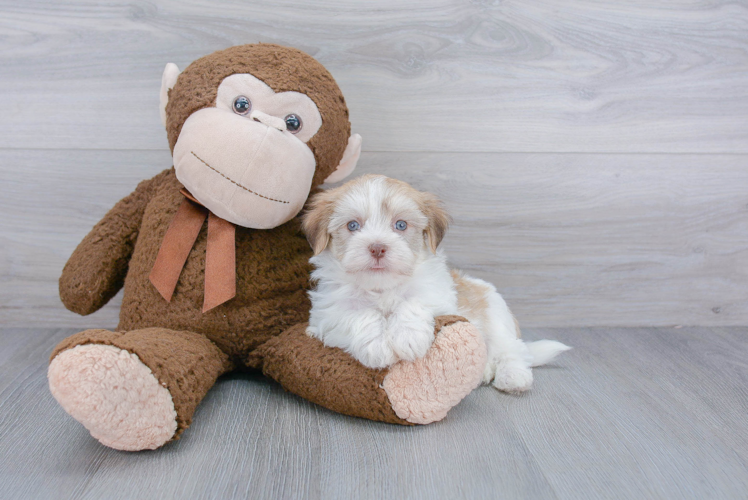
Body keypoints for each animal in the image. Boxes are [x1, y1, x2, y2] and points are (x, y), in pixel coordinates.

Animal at [298, 174, 568, 392]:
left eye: (401, 225)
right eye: (353, 225)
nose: (377, 247)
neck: (382, 288)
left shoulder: (439, 296)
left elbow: (413, 303)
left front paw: (408, 337)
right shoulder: (328, 313)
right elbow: (357, 315)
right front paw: (377, 346)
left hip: (496, 316)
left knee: (511, 350)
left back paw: (513, 376)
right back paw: (485, 371)